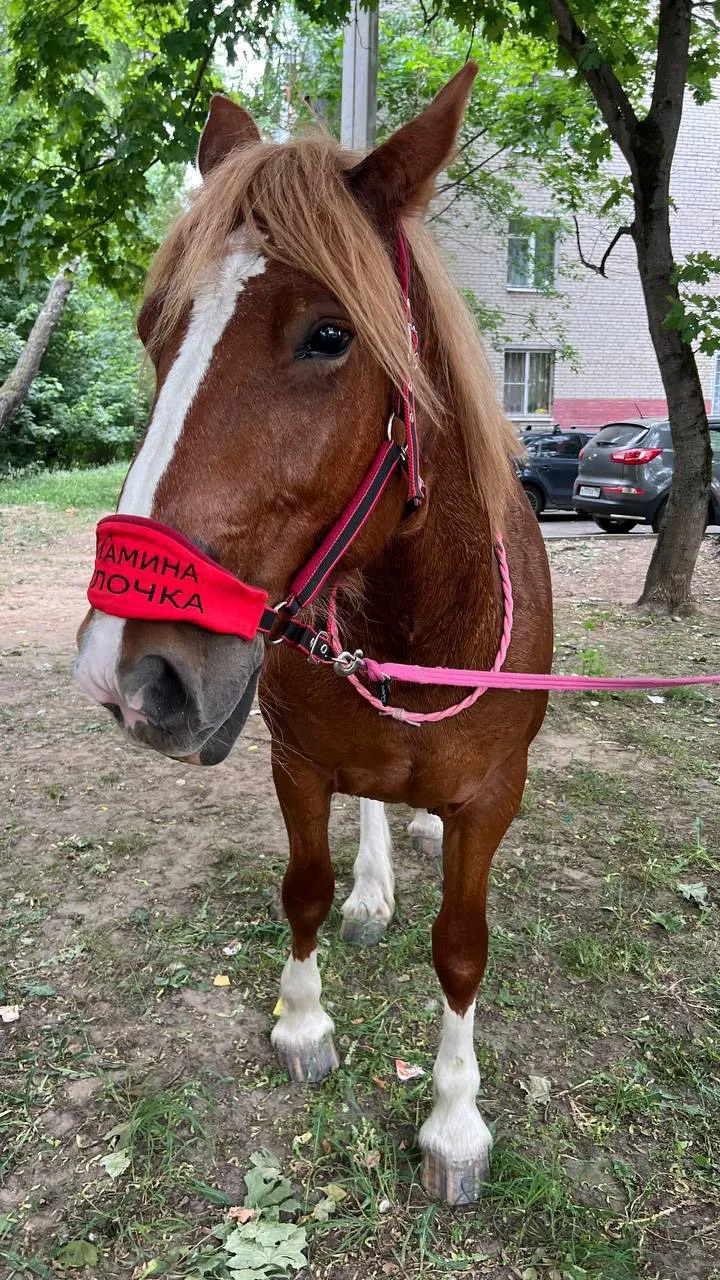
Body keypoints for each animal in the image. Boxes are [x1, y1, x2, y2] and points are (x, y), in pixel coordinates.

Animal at [75, 63, 553, 1206]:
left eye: (330, 335)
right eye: (153, 328)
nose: (134, 676)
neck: (417, 617)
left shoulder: (490, 799)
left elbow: (462, 948)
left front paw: (454, 1122)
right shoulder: (295, 762)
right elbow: (303, 888)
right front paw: (303, 1024)